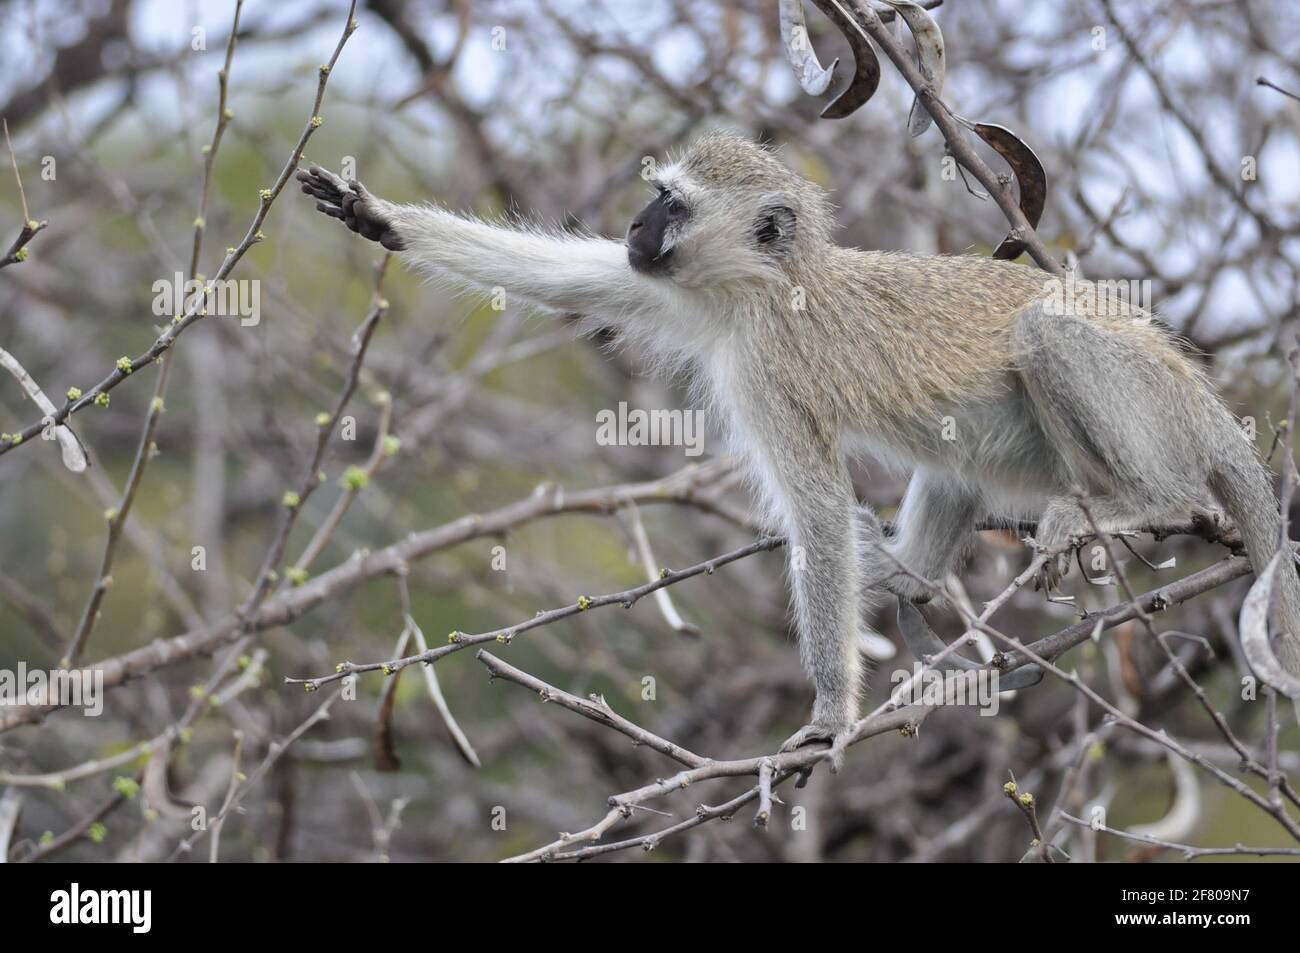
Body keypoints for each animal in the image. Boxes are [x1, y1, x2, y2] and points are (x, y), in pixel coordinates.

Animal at [297, 131, 1300, 751]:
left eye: (671, 203)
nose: (634, 227)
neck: (765, 283)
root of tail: (1203, 397)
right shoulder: (671, 290)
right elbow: (576, 278)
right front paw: (380, 218)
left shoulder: (768, 366)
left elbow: (814, 512)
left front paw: (827, 710)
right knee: (953, 461)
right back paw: (906, 576)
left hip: (1147, 407)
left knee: (1049, 340)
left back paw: (1147, 502)